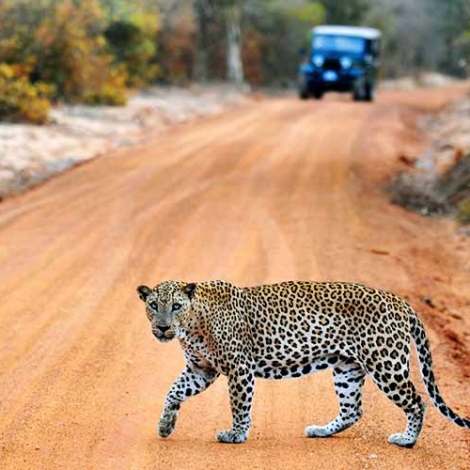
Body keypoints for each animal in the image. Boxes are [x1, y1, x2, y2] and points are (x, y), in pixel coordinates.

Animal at [137, 280, 470, 448]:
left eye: (176, 306)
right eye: (153, 305)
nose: (163, 328)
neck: (193, 325)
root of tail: (401, 302)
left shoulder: (239, 368)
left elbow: (239, 405)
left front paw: (236, 435)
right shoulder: (200, 370)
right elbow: (173, 392)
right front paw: (165, 425)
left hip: (386, 363)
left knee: (417, 401)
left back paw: (407, 440)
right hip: (347, 368)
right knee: (353, 410)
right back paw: (321, 431)